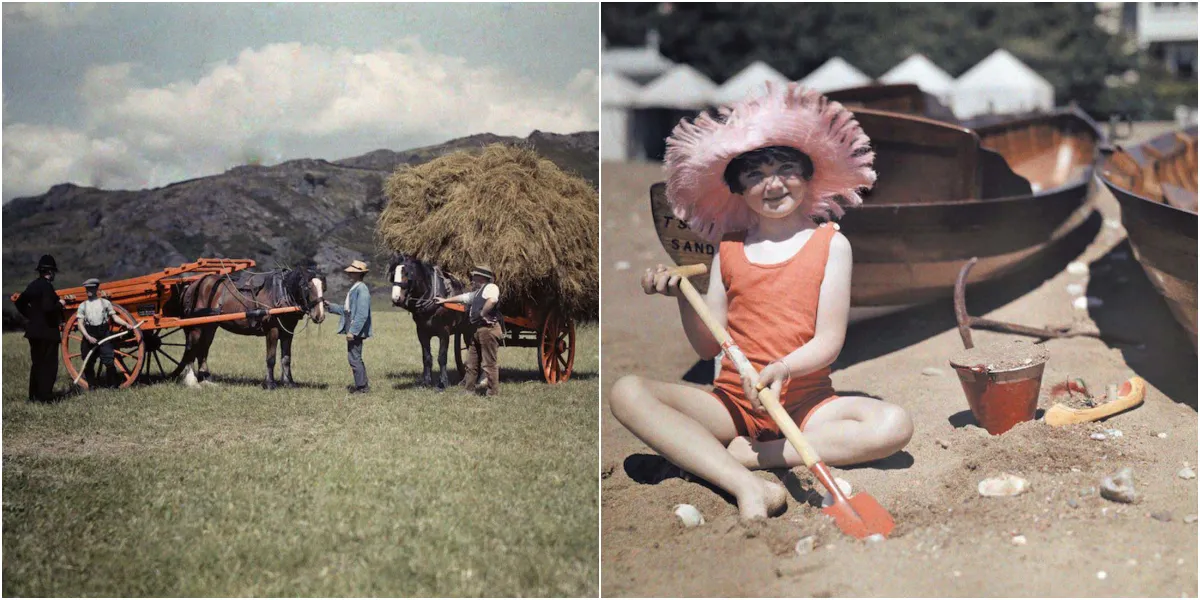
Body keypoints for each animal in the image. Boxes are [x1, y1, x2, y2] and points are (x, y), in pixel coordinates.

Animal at [180, 267, 326, 388]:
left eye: (323, 288)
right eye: (307, 287)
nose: (319, 316)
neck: (280, 292)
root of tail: (193, 285)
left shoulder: (287, 332)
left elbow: (286, 358)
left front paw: (288, 382)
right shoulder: (272, 330)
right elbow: (271, 358)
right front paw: (270, 383)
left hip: (210, 326)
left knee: (203, 349)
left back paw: (205, 379)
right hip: (197, 326)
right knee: (191, 348)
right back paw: (192, 380)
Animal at [391, 253, 470, 388]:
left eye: (407, 274)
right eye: (393, 274)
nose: (396, 298)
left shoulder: (444, 332)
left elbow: (442, 357)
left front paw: (443, 382)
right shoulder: (421, 332)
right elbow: (426, 357)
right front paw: (426, 381)